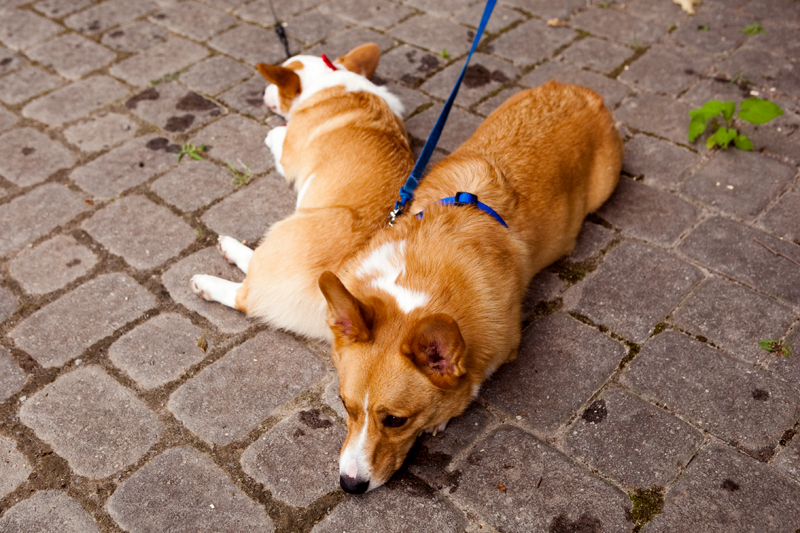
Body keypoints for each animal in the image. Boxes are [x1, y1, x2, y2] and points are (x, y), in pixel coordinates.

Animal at [188, 43, 412, 338]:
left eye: (275, 86)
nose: (262, 91)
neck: (329, 79)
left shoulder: (287, 156)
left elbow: (276, 134)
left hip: (281, 233)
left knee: (249, 292)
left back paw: (208, 281)